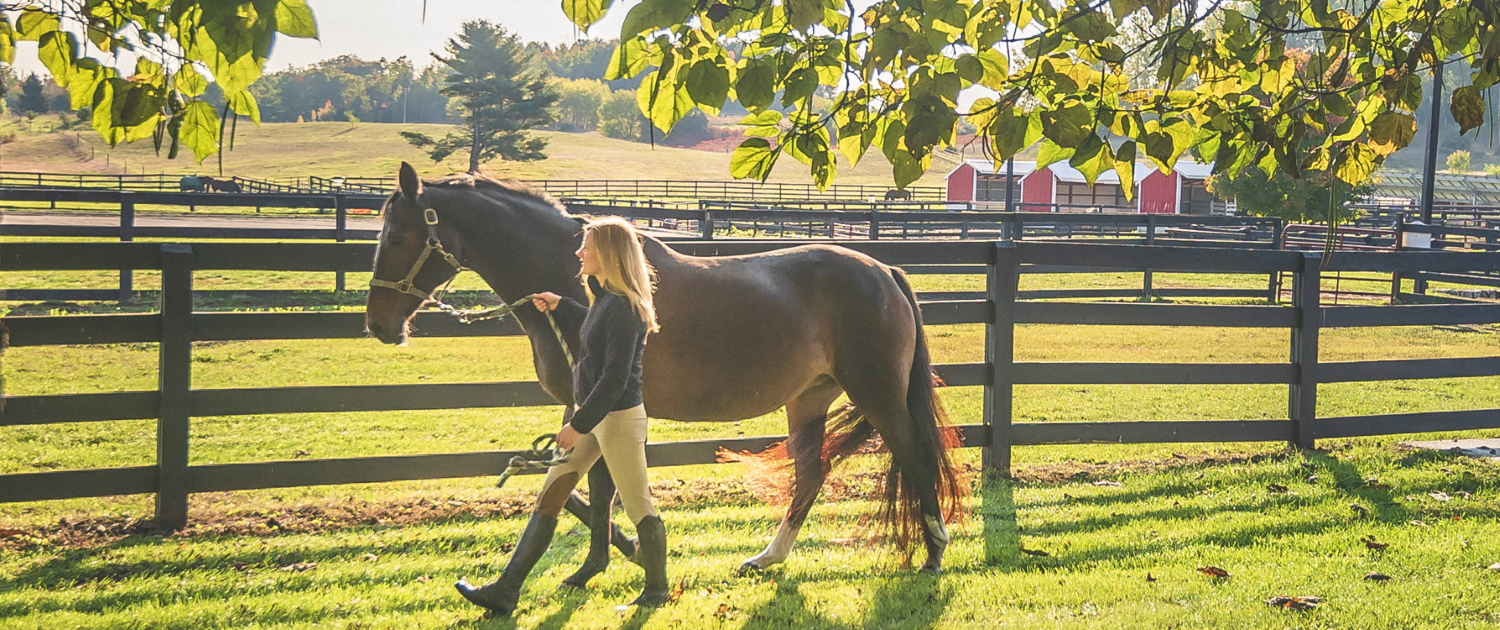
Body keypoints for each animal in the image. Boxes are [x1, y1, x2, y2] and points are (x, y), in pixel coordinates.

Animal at [369, 162, 966, 576]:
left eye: (396, 237)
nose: (378, 324)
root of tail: (885, 270)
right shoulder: (590, 409)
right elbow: (585, 487)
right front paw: (614, 556)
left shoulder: (594, 403)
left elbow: (594, 486)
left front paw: (608, 560)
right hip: (810, 398)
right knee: (810, 473)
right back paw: (767, 558)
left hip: (878, 393)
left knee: (915, 455)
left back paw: (935, 553)